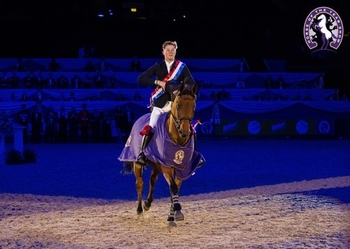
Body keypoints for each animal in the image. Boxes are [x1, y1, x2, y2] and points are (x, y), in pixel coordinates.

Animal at [118, 82, 205, 222]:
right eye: (178, 105)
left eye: (193, 107)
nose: (185, 131)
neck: (178, 140)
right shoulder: (166, 166)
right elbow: (173, 187)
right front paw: (177, 210)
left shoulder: (182, 169)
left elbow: (175, 189)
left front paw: (172, 214)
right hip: (137, 162)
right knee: (140, 183)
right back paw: (139, 210)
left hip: (156, 165)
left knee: (152, 179)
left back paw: (147, 204)